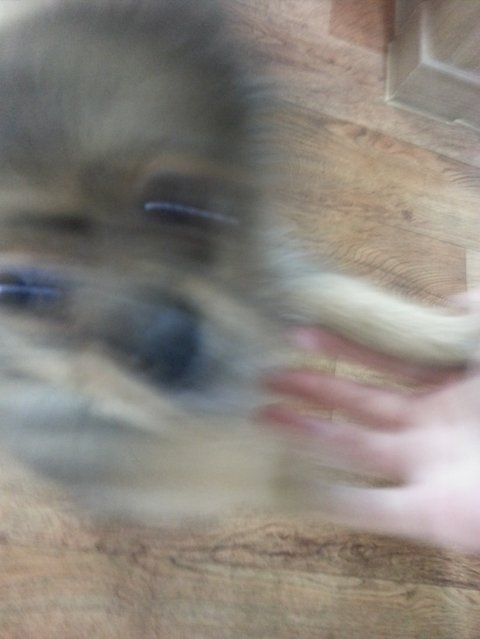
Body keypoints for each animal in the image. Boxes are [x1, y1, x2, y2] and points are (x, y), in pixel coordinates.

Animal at [0, 0, 477, 522]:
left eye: (174, 204)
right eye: (17, 290)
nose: (171, 343)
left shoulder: (259, 270)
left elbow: (352, 302)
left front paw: (454, 336)